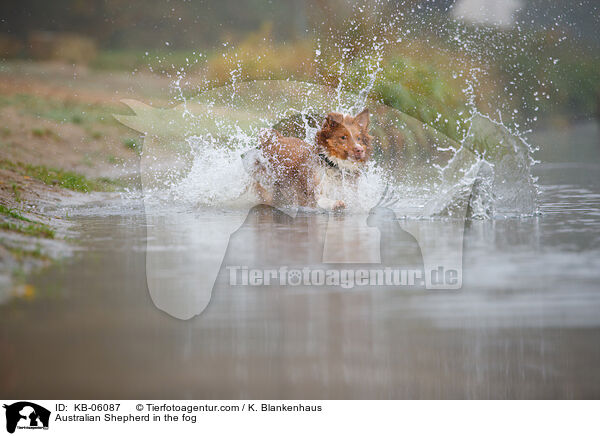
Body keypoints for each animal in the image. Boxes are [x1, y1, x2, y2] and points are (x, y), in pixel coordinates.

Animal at [243, 109, 372, 211]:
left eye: (359, 138)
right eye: (343, 137)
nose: (360, 150)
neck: (334, 165)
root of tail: (276, 138)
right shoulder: (311, 194)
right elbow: (321, 200)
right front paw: (335, 203)